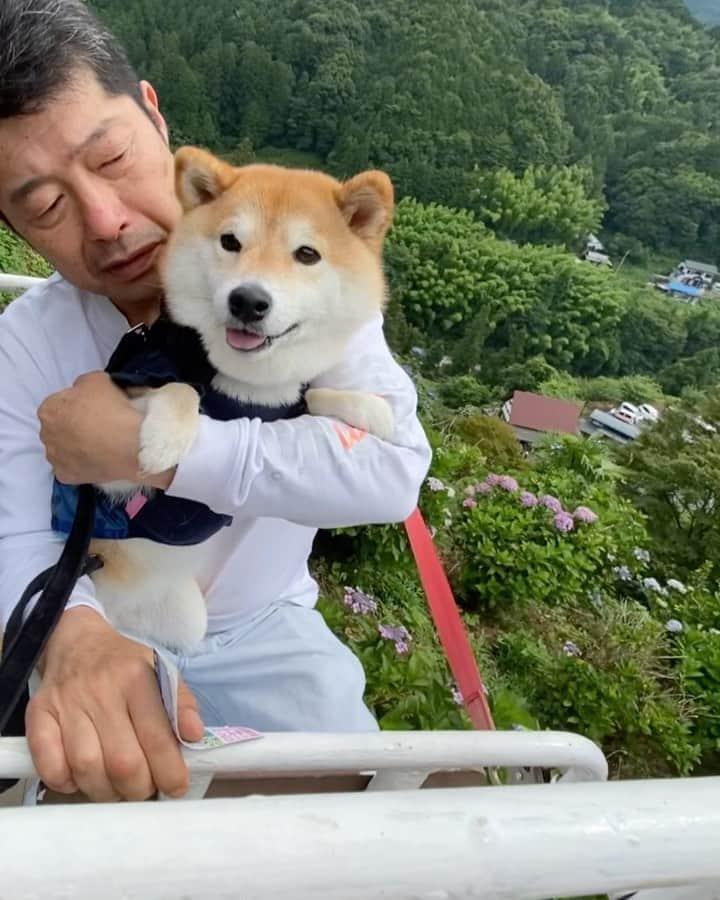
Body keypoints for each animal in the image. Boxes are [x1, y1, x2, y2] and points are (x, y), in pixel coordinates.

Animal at [88, 149, 400, 652]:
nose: (248, 300)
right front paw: (165, 439)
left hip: (184, 616)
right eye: (230, 242)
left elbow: (315, 392)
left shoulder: (284, 403)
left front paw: (371, 409)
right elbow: (179, 389)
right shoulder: (108, 475)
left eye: (307, 254)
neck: (242, 388)